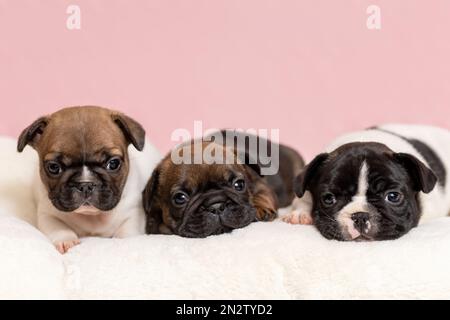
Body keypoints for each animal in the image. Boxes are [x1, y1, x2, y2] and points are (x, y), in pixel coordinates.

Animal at [18, 105, 162, 252]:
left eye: (113, 163)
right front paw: (67, 240)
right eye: (53, 167)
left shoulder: (133, 214)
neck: (91, 216)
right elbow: (59, 227)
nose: (85, 184)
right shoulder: (47, 214)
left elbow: (126, 232)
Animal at [142, 130, 302, 238]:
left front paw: (260, 209)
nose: (216, 206)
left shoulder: (261, 185)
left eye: (239, 185)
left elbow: (263, 196)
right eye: (180, 198)